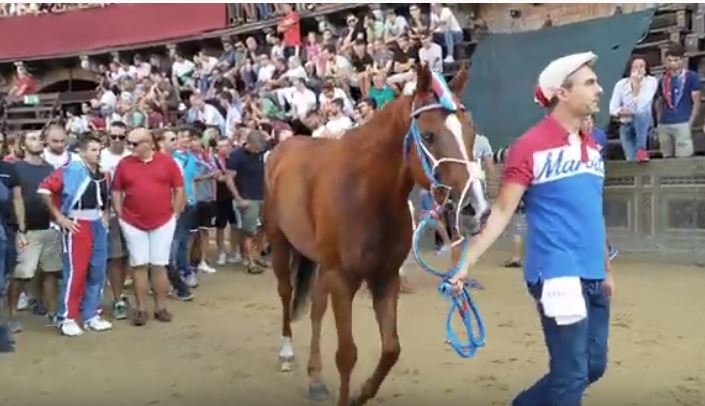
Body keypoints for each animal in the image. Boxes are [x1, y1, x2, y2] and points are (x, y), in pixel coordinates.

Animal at [263, 63, 489, 406]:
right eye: (428, 135)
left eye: (470, 133)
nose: (476, 208)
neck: (366, 194)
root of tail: (286, 146)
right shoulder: (343, 279)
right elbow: (347, 354)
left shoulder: (385, 277)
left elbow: (391, 349)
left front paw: (361, 394)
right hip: (280, 244)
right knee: (287, 294)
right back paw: (287, 352)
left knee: (316, 308)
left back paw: (315, 378)